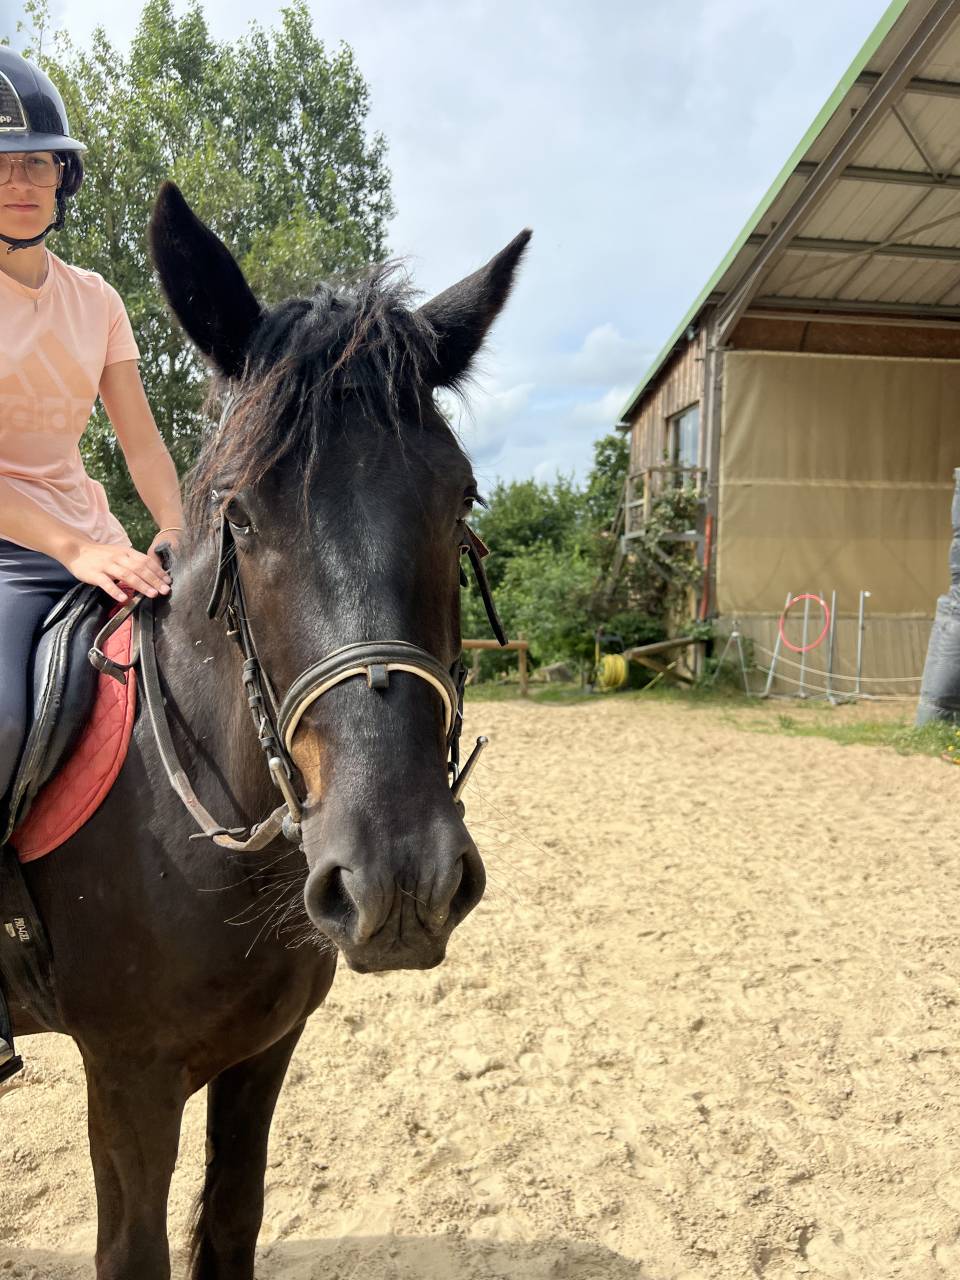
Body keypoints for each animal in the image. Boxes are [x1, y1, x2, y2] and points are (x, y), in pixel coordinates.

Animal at [8, 179, 530, 1279]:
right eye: (241, 518)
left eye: (460, 497)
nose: (400, 880)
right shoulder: (128, 1076)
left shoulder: (262, 1052)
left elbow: (232, 1224)